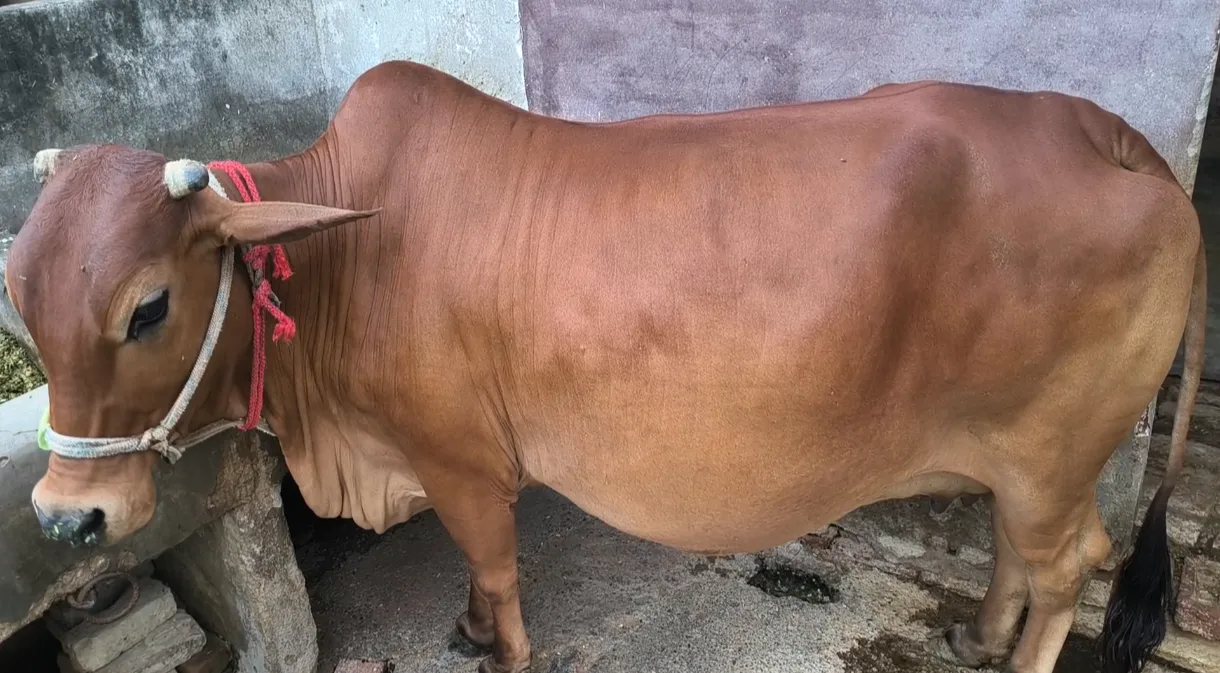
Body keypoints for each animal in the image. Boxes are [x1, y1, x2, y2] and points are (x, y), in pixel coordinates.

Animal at [5, 61, 1203, 673]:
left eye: (148, 305)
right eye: (17, 293)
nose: (66, 516)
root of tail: (1103, 131)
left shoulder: (458, 458)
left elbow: (492, 565)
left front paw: (499, 647)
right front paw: (469, 630)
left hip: (1052, 450)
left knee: (1069, 564)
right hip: (1025, 459)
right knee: (1017, 551)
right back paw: (977, 633)